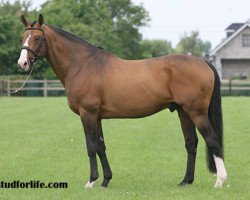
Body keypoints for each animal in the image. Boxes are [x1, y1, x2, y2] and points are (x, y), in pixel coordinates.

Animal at [17, 14, 227, 188]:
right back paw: (186, 181)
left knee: (213, 140)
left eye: (38, 38)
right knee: (191, 143)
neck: (82, 65)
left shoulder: (87, 114)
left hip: (196, 112)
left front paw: (91, 181)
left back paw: (220, 181)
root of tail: (203, 62)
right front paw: (105, 180)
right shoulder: (97, 117)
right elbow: (101, 146)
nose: (23, 63)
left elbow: (91, 146)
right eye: (23, 37)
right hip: (184, 112)